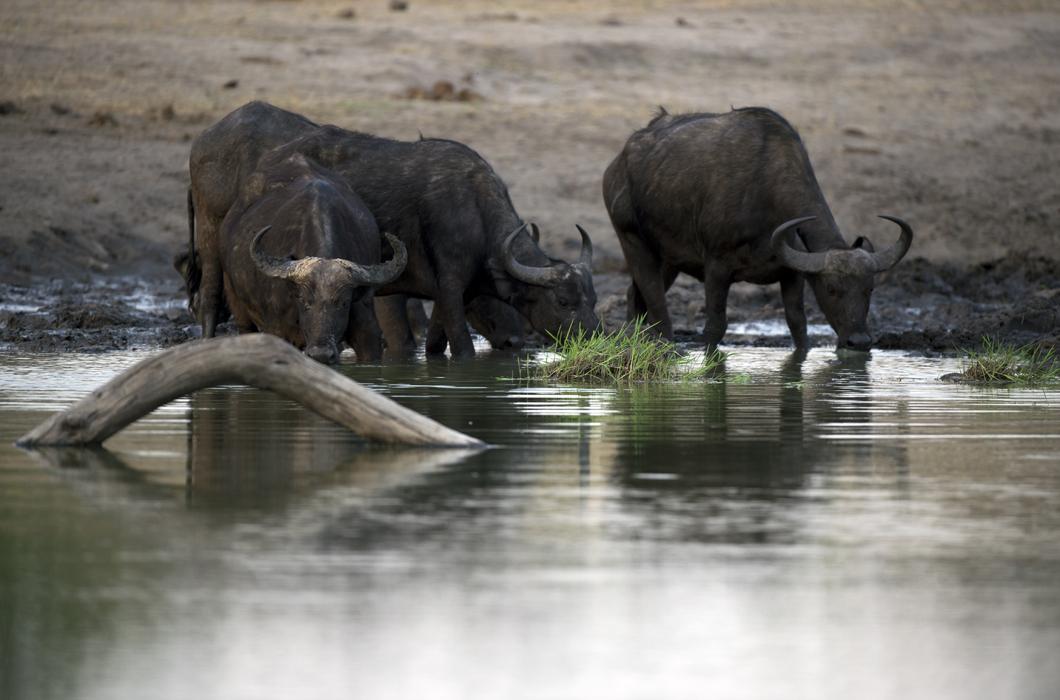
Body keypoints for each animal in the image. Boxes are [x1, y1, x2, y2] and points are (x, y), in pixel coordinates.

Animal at [219, 151, 404, 360]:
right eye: (304, 301)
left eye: (342, 303)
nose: (321, 354)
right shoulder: (276, 328)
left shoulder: (367, 328)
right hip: (236, 302)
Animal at [602, 106, 915, 352]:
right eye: (831, 289)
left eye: (870, 288)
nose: (859, 342)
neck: (764, 192)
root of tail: (616, 165)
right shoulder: (716, 269)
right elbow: (715, 326)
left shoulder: (792, 275)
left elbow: (798, 326)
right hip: (633, 242)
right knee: (657, 306)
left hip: (669, 259)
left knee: (635, 296)